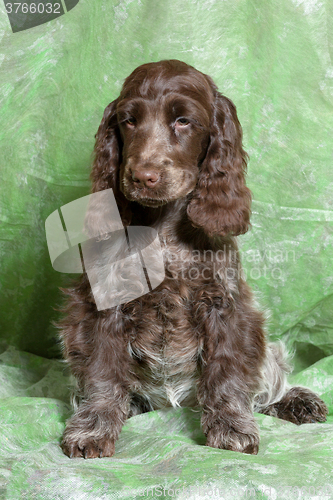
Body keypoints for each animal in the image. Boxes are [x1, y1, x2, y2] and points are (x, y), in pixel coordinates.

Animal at [59, 58, 326, 458]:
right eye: (129, 120)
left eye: (183, 121)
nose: (143, 176)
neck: (164, 228)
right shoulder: (105, 306)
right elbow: (103, 374)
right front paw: (93, 429)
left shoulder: (225, 305)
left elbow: (227, 375)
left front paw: (230, 426)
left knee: (266, 382)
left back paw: (296, 401)